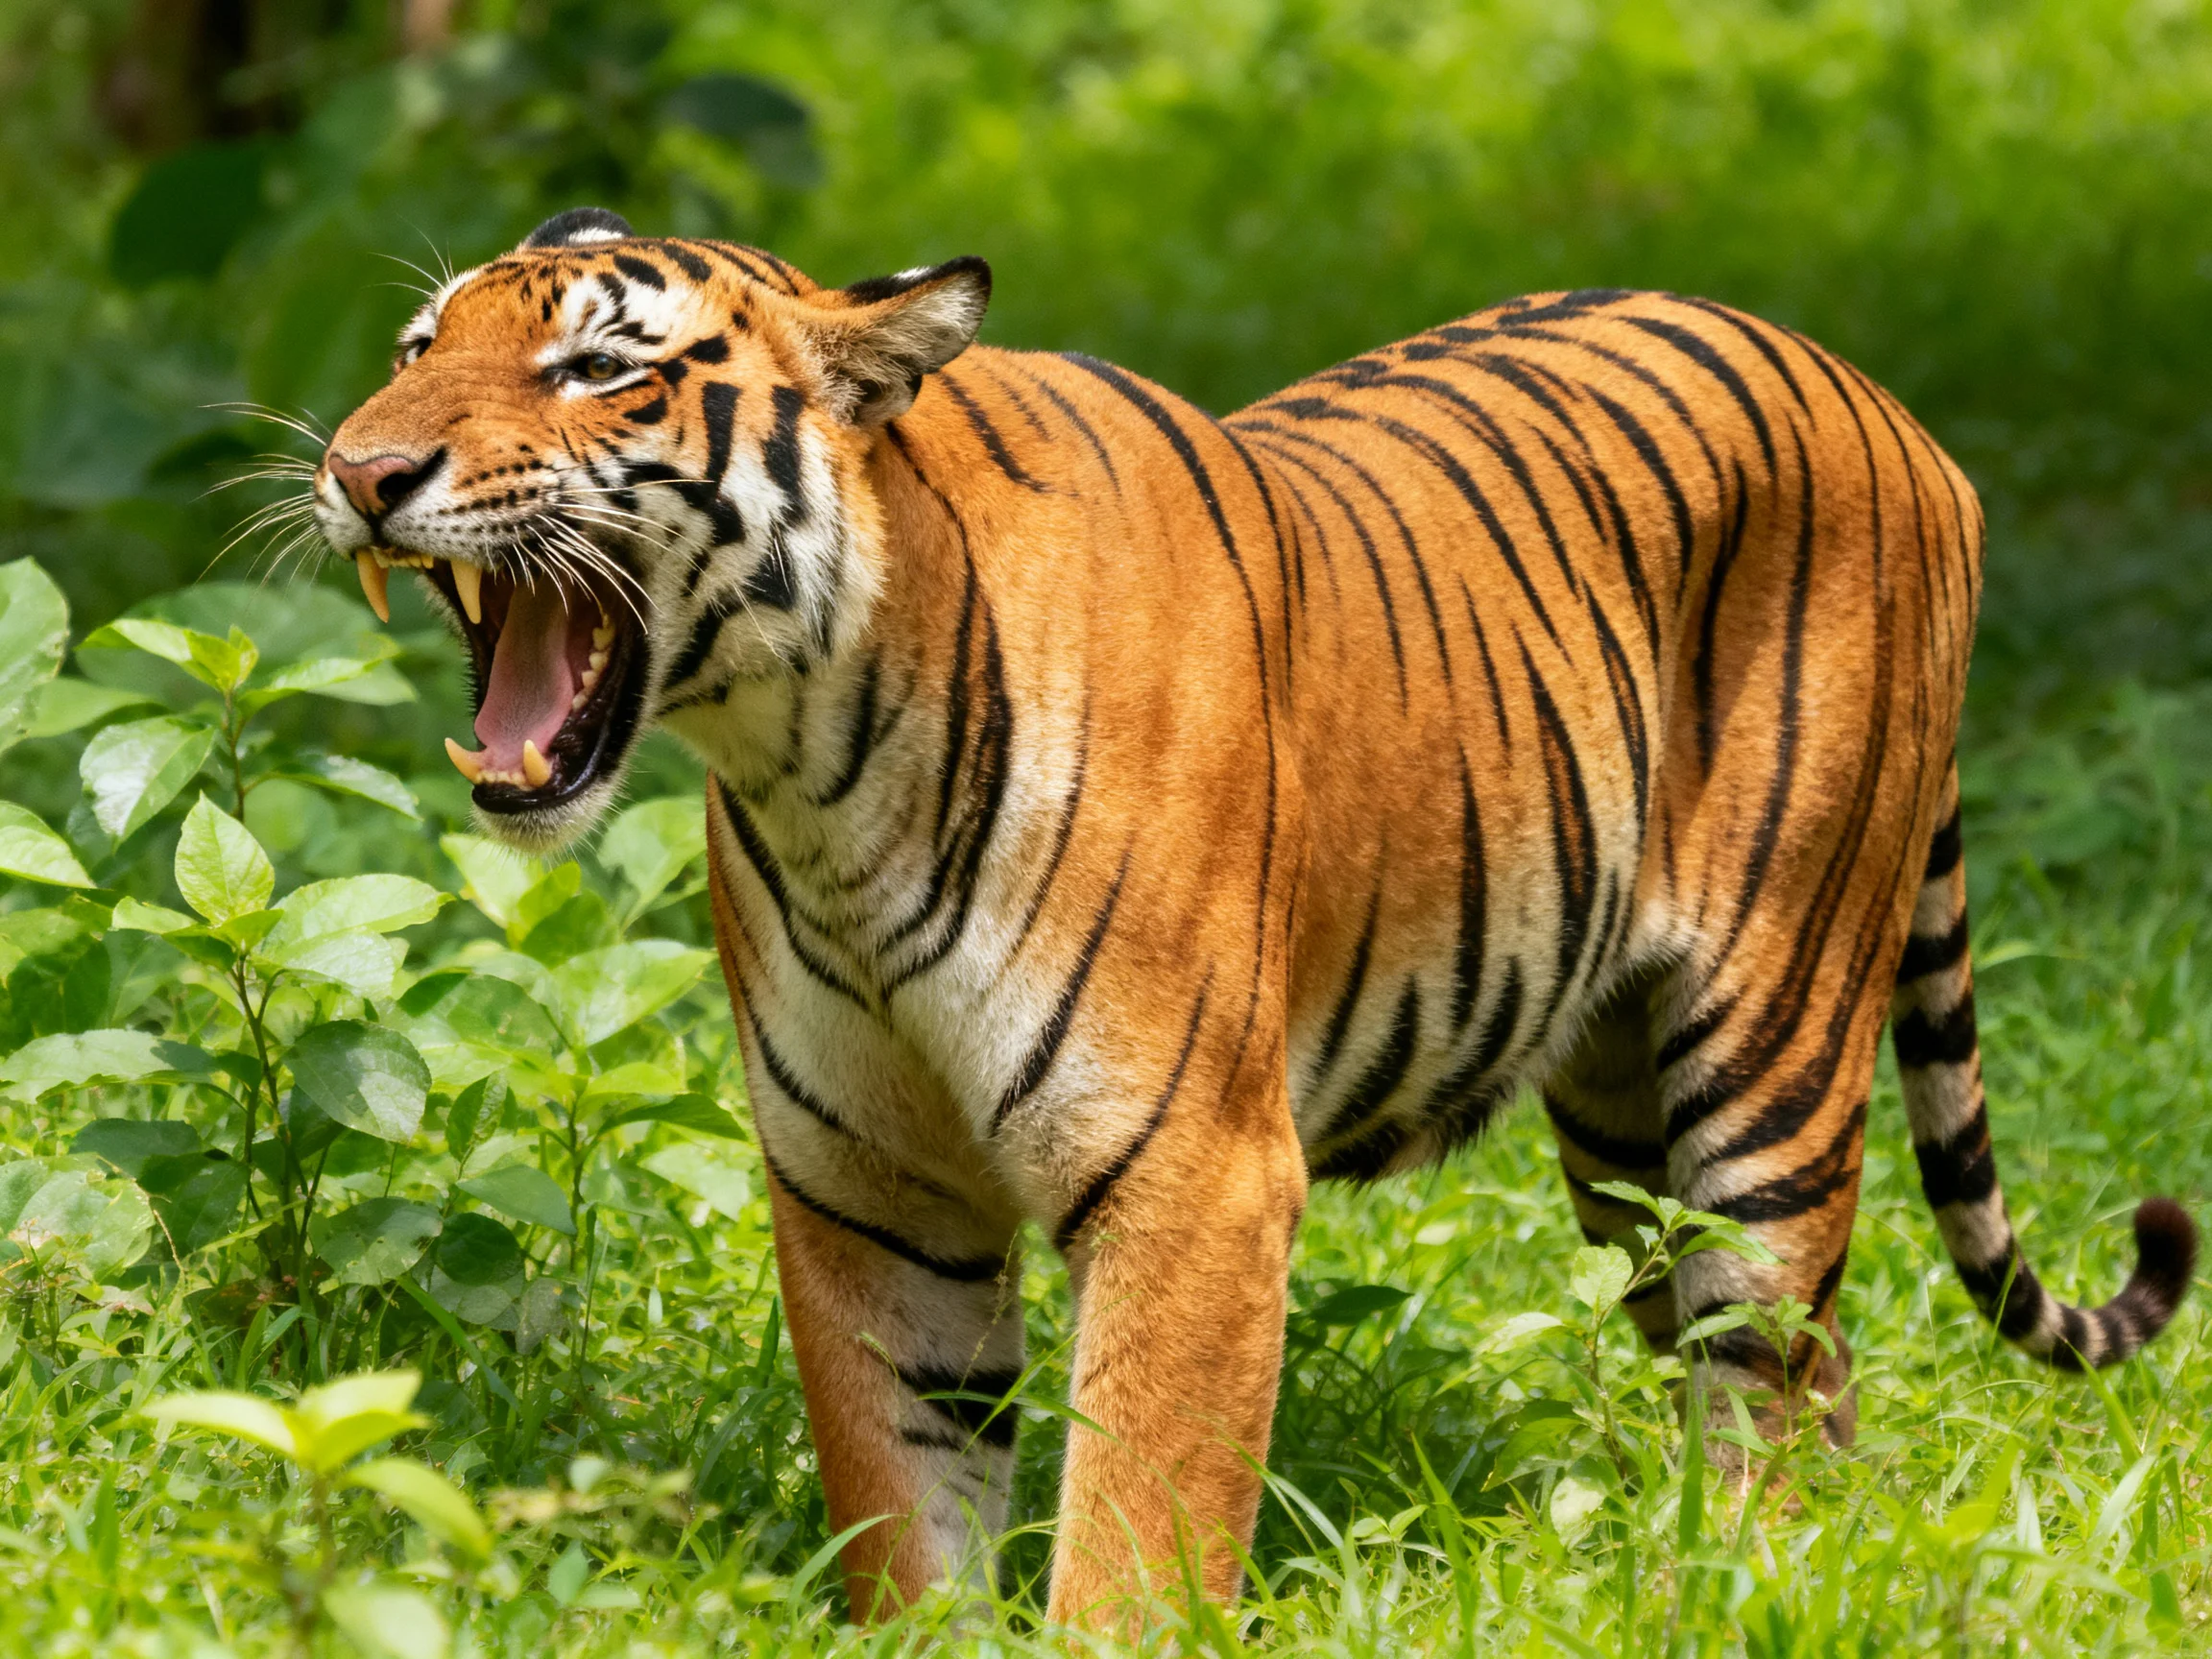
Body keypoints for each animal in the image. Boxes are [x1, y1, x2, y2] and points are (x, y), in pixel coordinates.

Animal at [311, 205, 2197, 1627]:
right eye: (412, 351)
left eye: (599, 368)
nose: (357, 469)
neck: (814, 760)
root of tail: (1887, 405)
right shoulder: (866, 1189)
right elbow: (906, 1511)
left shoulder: (1190, 1180)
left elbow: (1130, 1541)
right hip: (1618, 1110)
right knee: (1798, 1377)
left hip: (1770, 1044)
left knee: (1769, 1358)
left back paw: (1739, 1593)